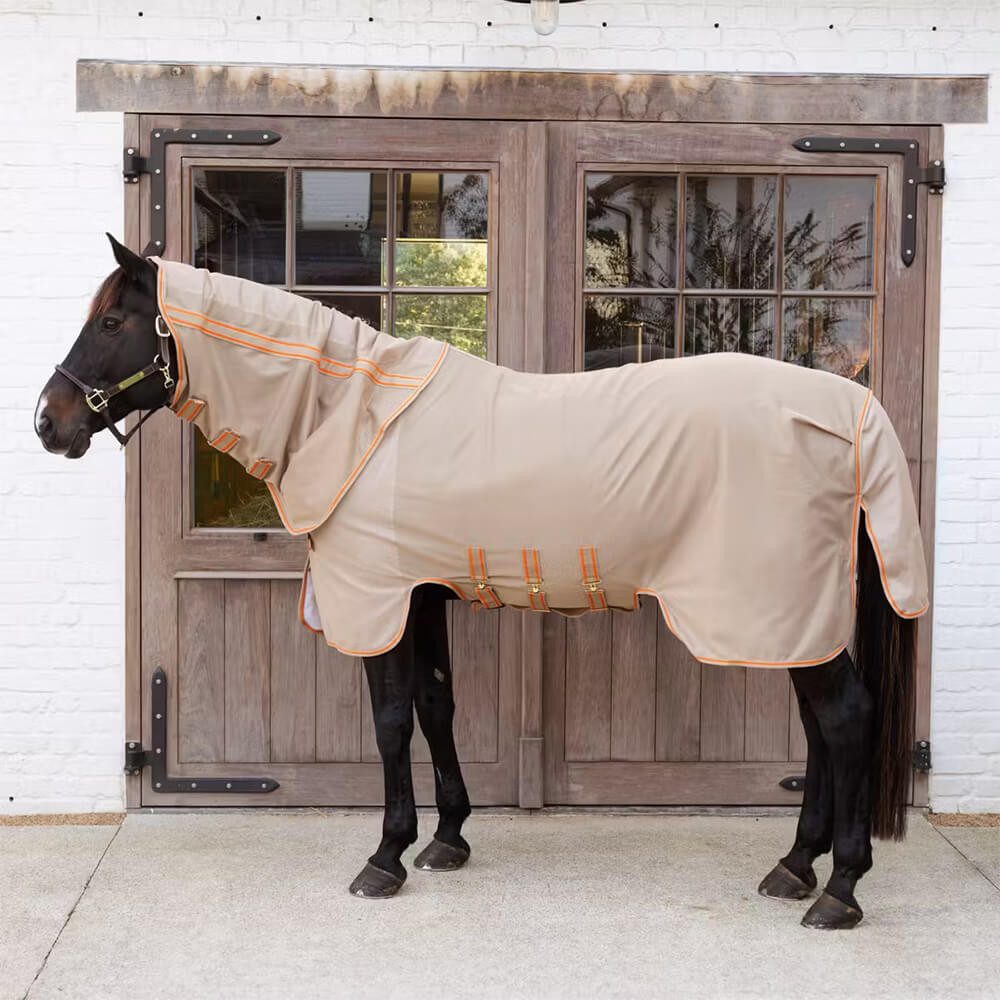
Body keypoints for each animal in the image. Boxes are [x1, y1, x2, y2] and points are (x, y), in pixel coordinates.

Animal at [35, 234, 929, 930]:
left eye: (111, 321)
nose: (49, 422)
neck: (351, 417)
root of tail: (848, 410)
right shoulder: (422, 594)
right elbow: (437, 704)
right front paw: (448, 839)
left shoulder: (382, 599)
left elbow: (392, 720)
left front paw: (386, 856)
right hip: (792, 614)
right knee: (820, 729)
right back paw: (796, 866)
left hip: (774, 606)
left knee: (845, 719)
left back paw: (839, 889)